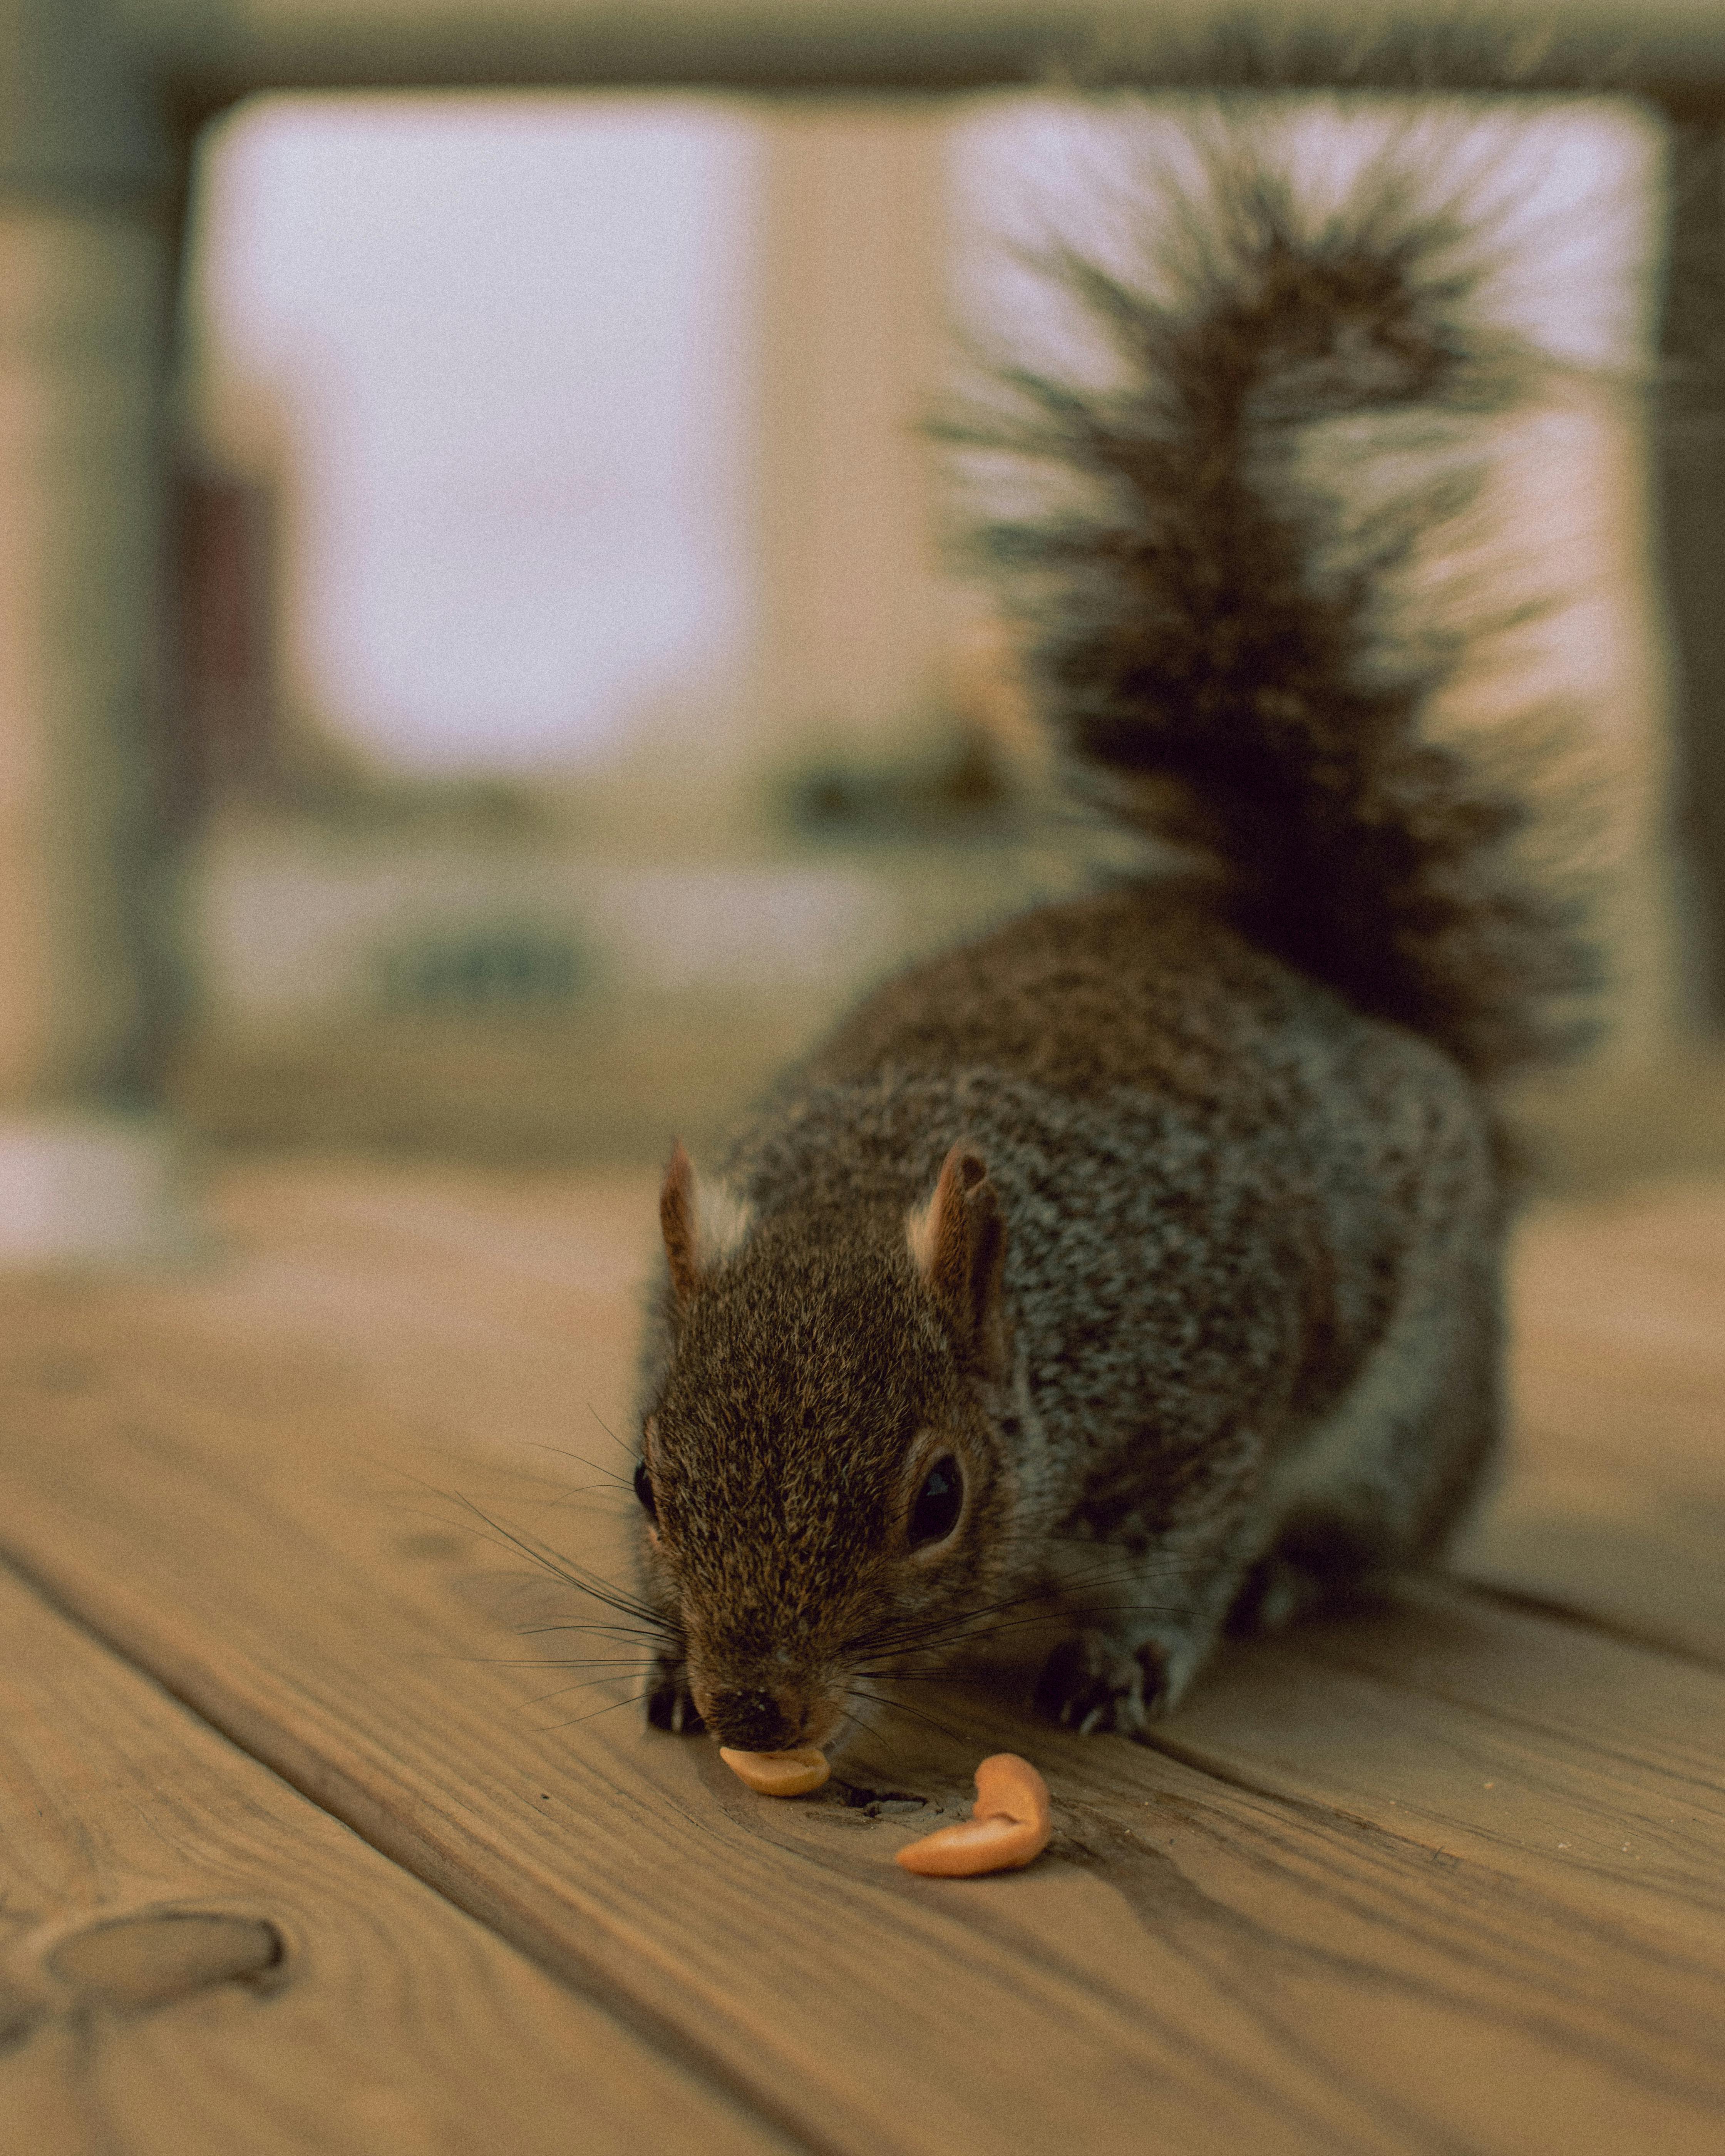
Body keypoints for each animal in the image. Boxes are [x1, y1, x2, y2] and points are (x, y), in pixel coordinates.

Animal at [629, 101, 1600, 1754]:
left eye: (938, 1498)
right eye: (644, 1477)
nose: (751, 1706)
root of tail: (1299, 966)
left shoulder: (1209, 1392)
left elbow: (1183, 1553)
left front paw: (1127, 1656)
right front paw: (656, 1663)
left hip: (1411, 1414)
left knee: (1385, 1533)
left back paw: (1299, 1575)